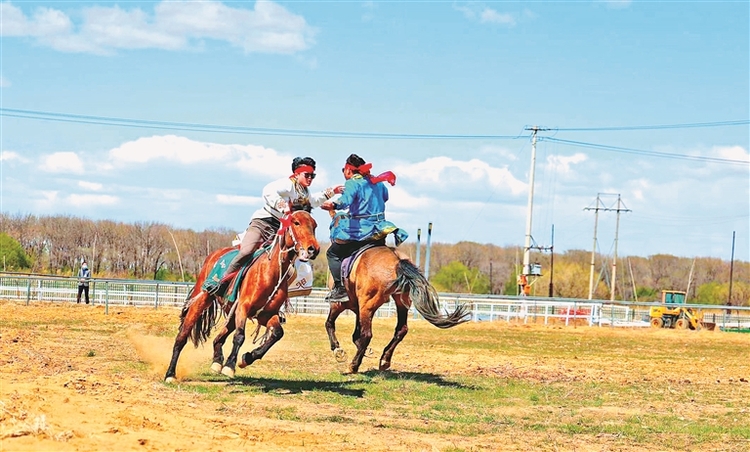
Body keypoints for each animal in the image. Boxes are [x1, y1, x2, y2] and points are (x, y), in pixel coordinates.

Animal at [164, 211, 320, 382]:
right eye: (296, 222)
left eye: (314, 225)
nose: (313, 249)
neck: (270, 271)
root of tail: (213, 255)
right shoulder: (243, 307)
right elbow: (240, 336)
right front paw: (230, 366)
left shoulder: (266, 314)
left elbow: (277, 334)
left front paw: (248, 357)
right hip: (202, 300)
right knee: (182, 336)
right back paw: (170, 374)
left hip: (231, 314)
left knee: (218, 338)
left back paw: (217, 361)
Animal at [328, 247, 472, 374]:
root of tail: (397, 260)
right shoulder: (359, 309)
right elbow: (355, 334)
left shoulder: (339, 305)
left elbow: (330, 324)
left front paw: (337, 350)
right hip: (401, 301)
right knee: (401, 329)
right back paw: (384, 360)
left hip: (367, 305)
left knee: (367, 335)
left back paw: (354, 365)